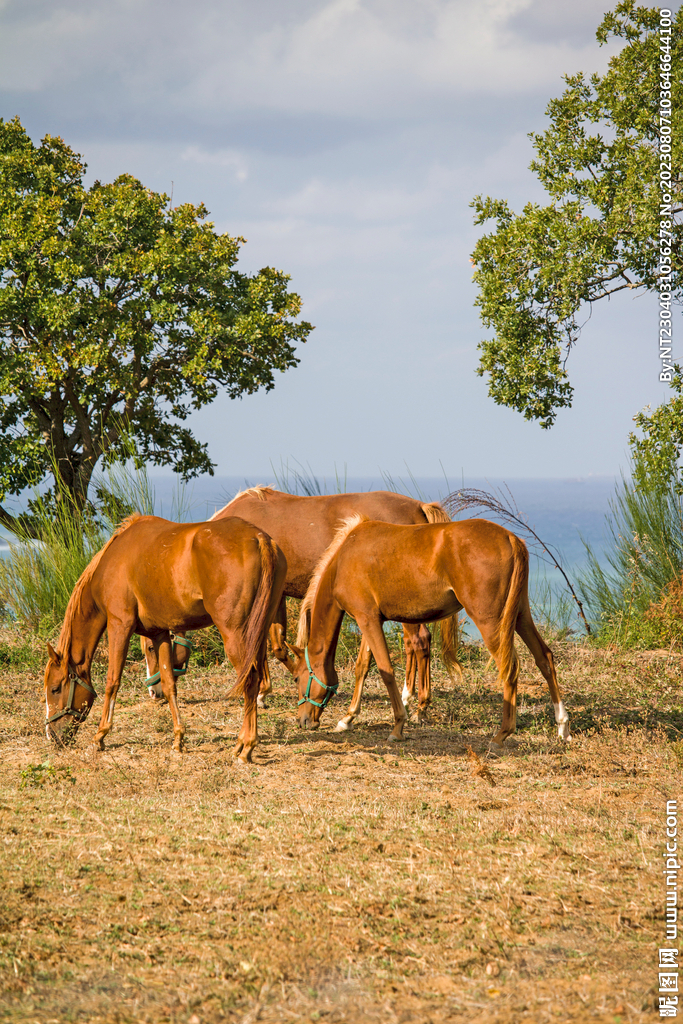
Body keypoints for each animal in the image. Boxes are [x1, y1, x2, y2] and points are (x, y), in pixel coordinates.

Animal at [44, 512, 286, 761]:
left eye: (55, 689)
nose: (51, 735)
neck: (112, 562)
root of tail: (258, 538)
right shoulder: (159, 633)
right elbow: (169, 684)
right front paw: (178, 737)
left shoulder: (119, 626)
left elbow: (112, 682)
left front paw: (100, 735)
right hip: (258, 633)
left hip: (235, 635)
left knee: (250, 681)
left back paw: (246, 745)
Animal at [147, 489, 462, 720]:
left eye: (150, 648)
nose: (155, 692)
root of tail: (419, 506)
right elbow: (272, 644)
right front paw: (267, 688)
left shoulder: (269, 598)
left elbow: (270, 647)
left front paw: (267, 689)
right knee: (414, 644)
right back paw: (410, 698)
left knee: (419, 641)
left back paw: (417, 703)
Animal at [288, 516, 573, 749]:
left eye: (297, 678)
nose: (303, 720)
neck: (343, 559)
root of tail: (511, 539)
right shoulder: (369, 619)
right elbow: (362, 667)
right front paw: (347, 718)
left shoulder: (366, 619)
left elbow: (386, 671)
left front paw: (398, 726)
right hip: (520, 616)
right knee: (544, 658)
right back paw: (562, 725)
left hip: (491, 622)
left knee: (510, 667)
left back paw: (502, 733)